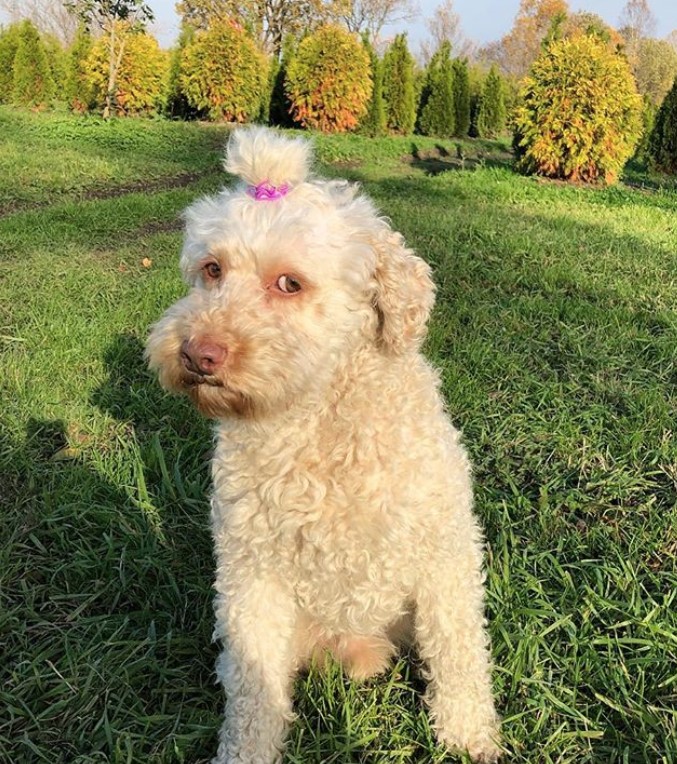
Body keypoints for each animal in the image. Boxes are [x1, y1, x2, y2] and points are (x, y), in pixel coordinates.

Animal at [147, 128, 496, 760]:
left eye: (289, 283)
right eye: (212, 269)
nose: (197, 354)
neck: (318, 423)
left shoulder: (444, 555)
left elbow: (459, 652)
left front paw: (467, 737)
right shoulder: (251, 575)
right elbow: (254, 689)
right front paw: (246, 750)